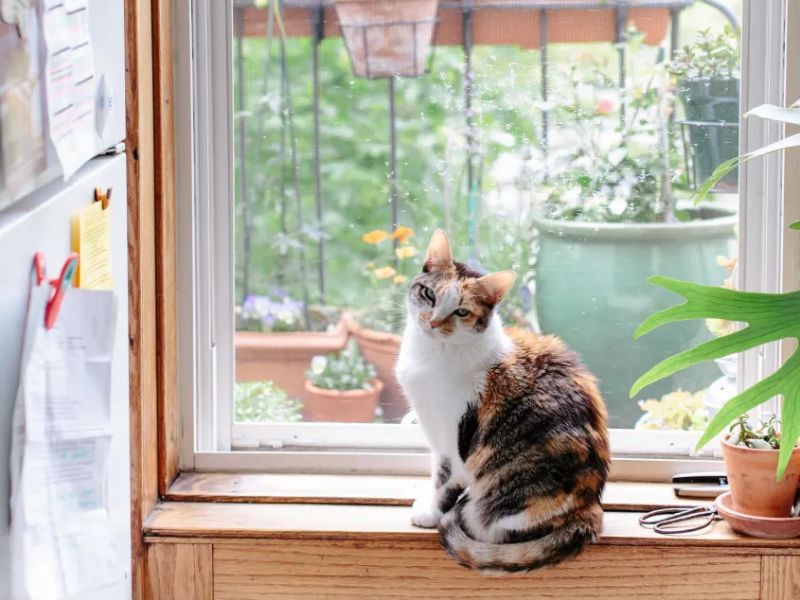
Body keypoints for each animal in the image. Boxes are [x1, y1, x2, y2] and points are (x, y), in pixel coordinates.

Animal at [396, 229, 608, 572]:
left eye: (461, 311)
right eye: (429, 295)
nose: (433, 322)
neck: (433, 354)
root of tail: (589, 512)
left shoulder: (455, 441)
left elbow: (445, 482)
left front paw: (430, 512)